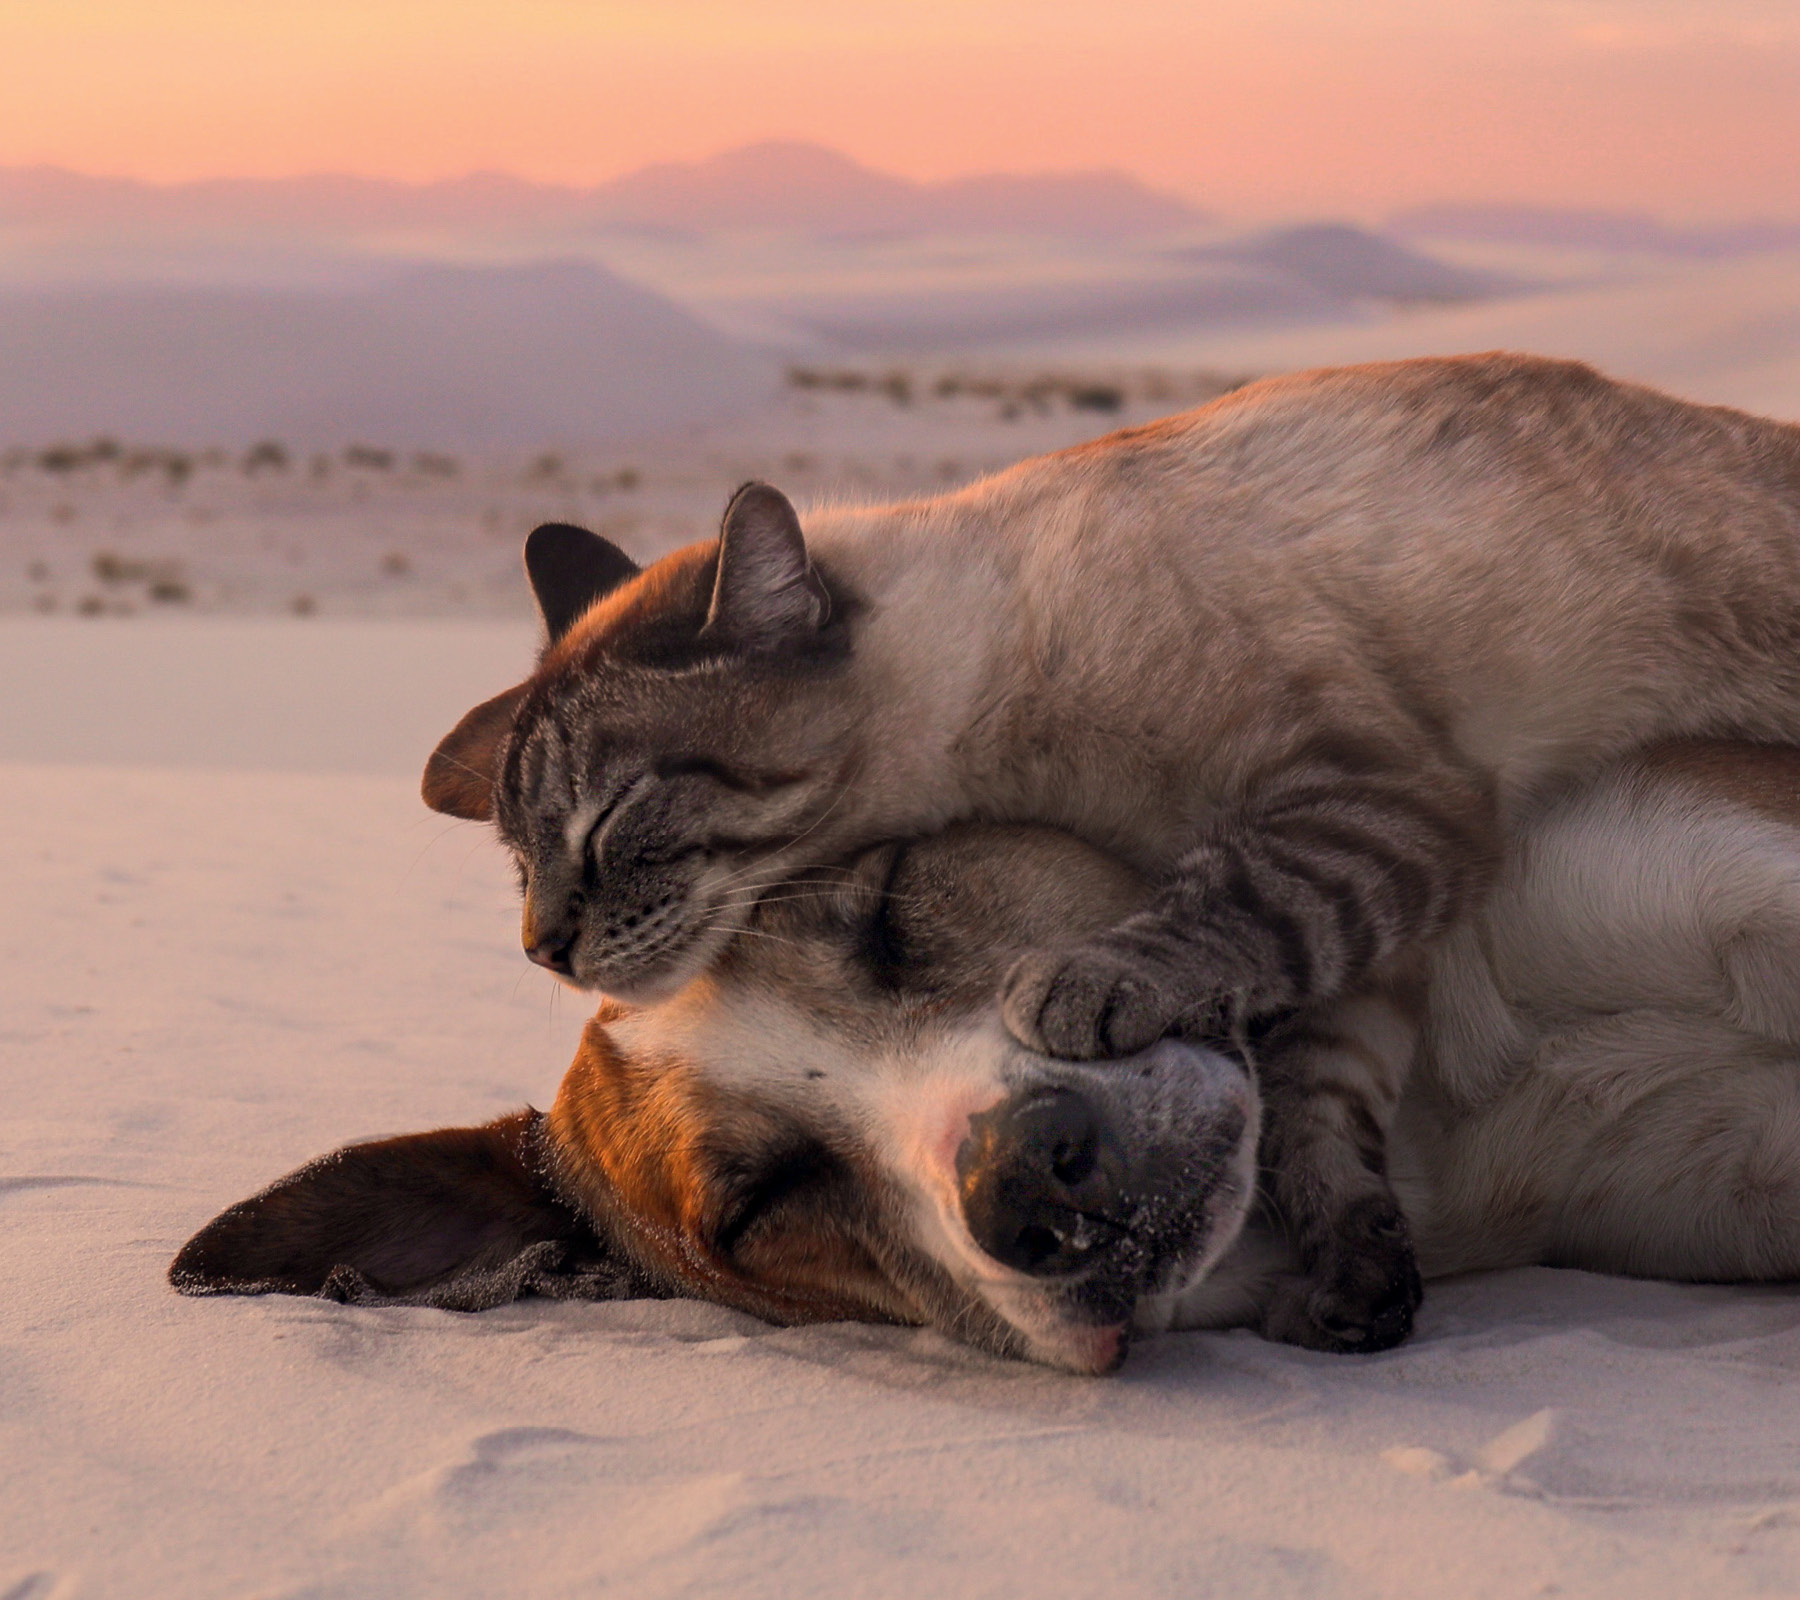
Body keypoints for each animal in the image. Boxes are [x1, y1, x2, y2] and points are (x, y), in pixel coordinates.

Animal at [424, 352, 1800, 1346]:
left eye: (614, 826)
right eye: (523, 863)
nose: (545, 947)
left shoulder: (1377, 809)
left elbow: (1241, 904)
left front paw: (1084, 988)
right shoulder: (1370, 956)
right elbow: (1318, 1107)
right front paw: (1353, 1271)